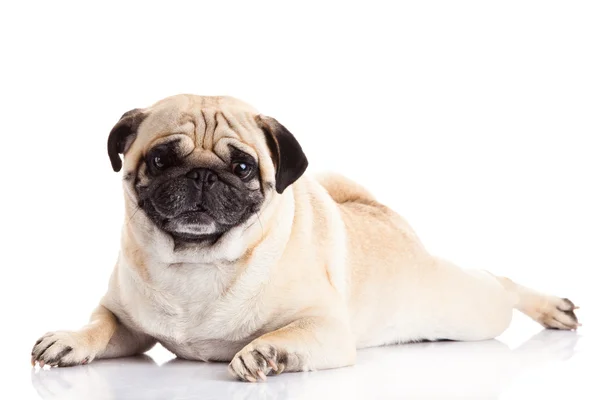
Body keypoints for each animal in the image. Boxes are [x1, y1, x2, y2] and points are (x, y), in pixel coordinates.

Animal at [30, 94, 580, 382]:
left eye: (243, 167)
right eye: (161, 160)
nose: (203, 175)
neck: (197, 264)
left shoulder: (325, 326)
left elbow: (285, 334)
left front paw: (265, 353)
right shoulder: (126, 321)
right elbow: (100, 325)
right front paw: (70, 339)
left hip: (469, 311)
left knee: (498, 282)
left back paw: (551, 308)